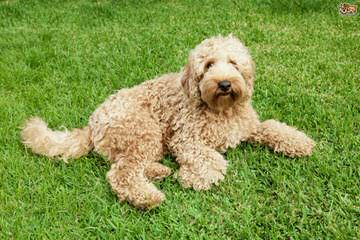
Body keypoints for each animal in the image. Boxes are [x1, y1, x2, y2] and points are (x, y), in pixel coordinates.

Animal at [22, 34, 316, 209]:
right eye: (208, 65)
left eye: (233, 63)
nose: (224, 83)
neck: (221, 110)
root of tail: (93, 122)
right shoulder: (185, 139)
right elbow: (211, 159)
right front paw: (195, 176)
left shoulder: (249, 127)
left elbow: (273, 127)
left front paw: (299, 142)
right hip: (144, 130)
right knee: (121, 173)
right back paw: (148, 196)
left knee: (126, 164)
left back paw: (159, 171)